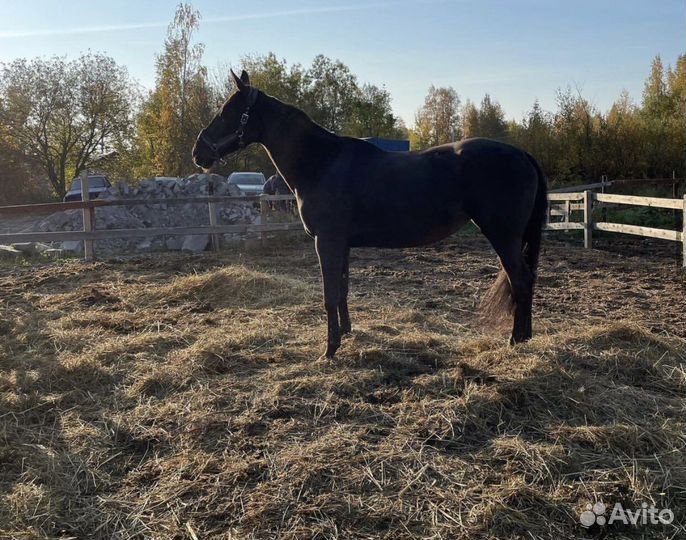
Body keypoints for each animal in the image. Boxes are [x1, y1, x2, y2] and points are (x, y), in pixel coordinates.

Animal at [193, 70, 548, 359]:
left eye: (227, 113)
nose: (199, 152)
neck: (321, 163)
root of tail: (523, 154)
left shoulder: (326, 242)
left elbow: (329, 294)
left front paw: (329, 350)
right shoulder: (341, 244)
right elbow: (343, 289)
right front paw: (346, 334)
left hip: (503, 236)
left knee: (521, 280)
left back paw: (515, 340)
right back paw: (525, 338)